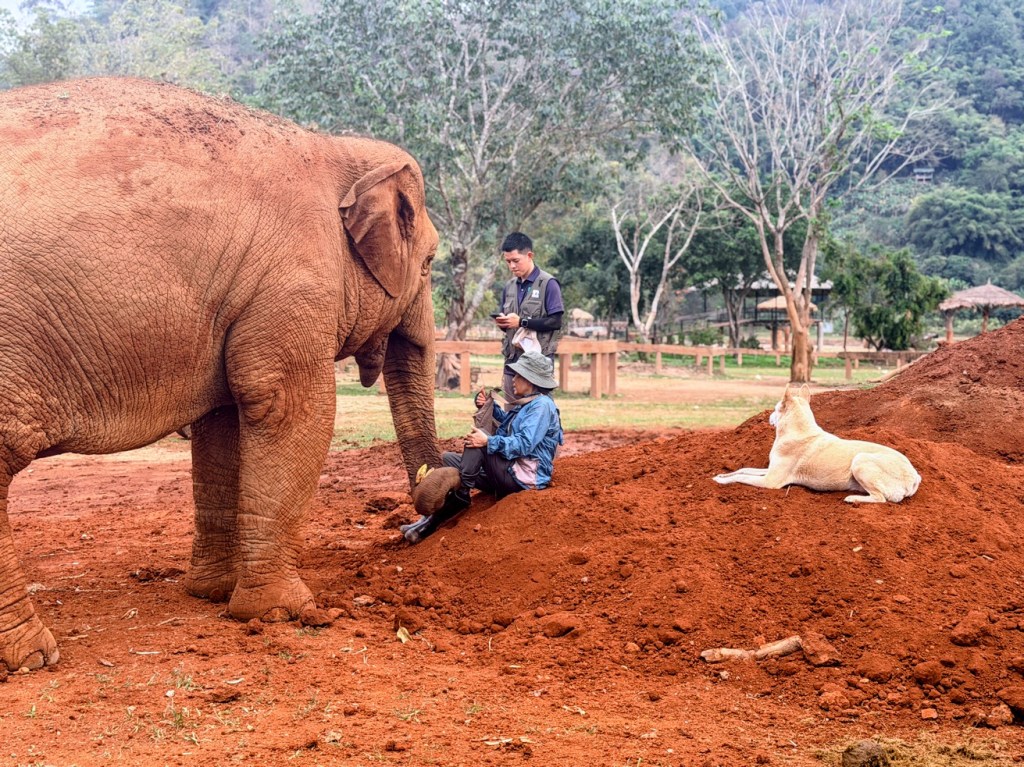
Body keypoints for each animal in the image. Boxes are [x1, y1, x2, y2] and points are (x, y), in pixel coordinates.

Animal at [0, 77, 443, 672]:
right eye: (431, 264)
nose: (435, 499)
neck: (335, 145)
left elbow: (223, 420)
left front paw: (211, 594)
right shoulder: (292, 282)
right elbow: (286, 404)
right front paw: (285, 613)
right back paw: (34, 657)